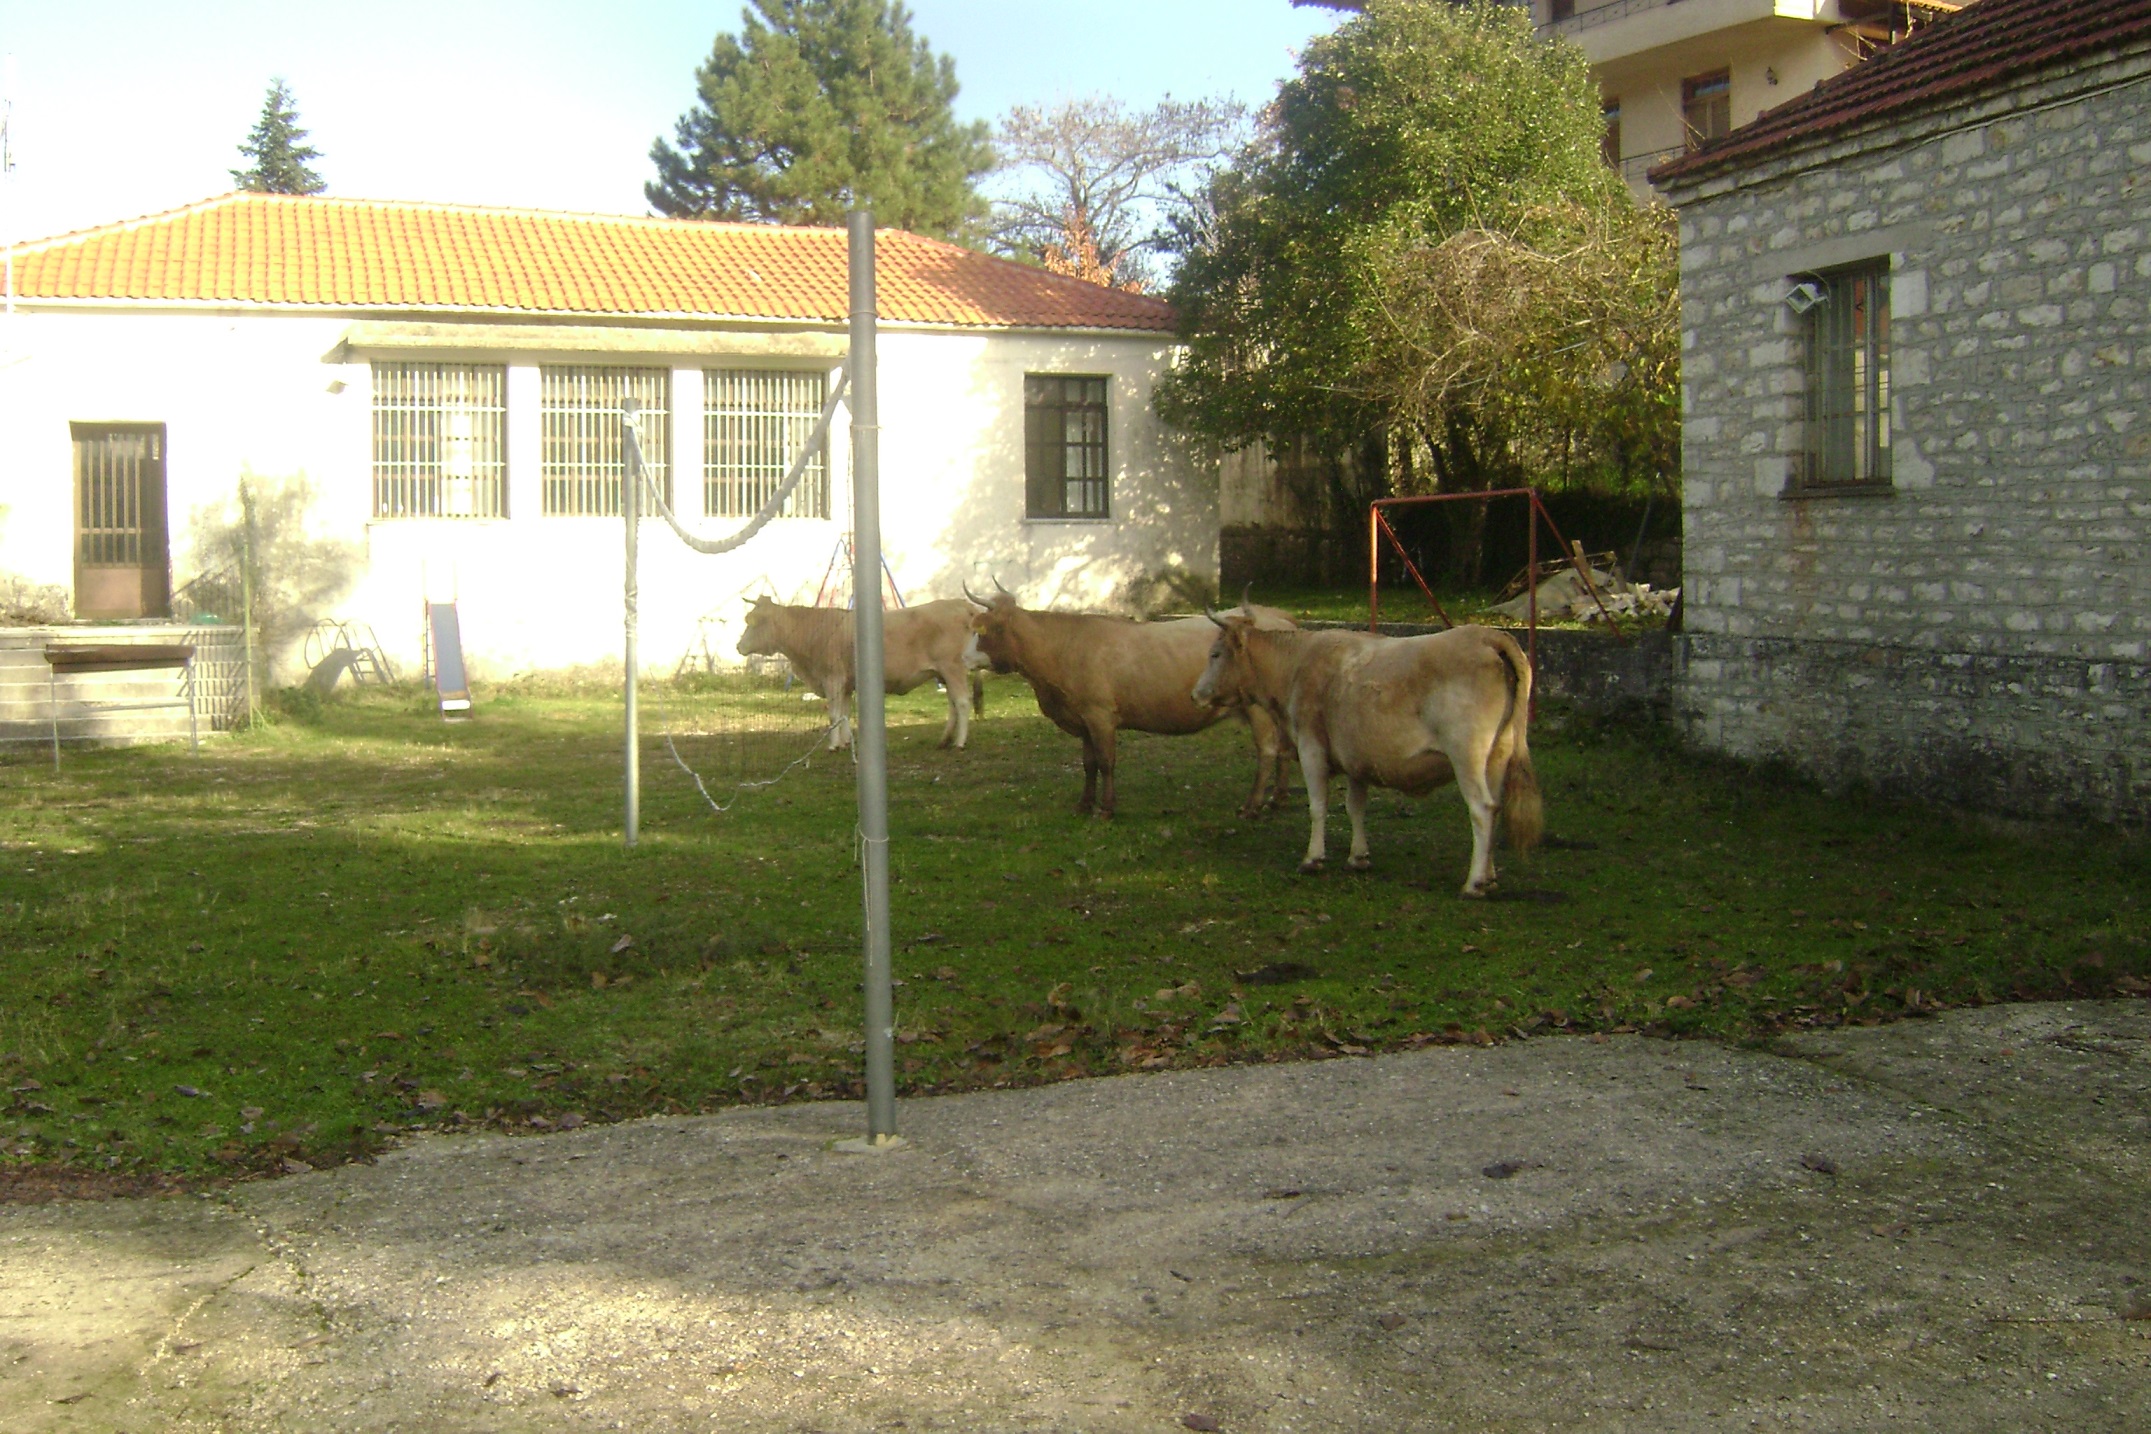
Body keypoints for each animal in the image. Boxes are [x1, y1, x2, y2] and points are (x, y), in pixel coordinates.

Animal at [736, 596, 986, 750]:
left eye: (752, 622)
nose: (739, 646)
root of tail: (961, 604)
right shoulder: (846, 682)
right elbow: (845, 713)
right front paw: (846, 742)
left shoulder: (833, 679)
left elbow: (834, 715)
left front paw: (833, 745)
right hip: (944, 672)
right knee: (953, 704)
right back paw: (945, 740)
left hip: (953, 667)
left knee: (962, 702)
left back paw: (959, 743)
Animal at [964, 584, 1298, 819]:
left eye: (987, 629)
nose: (964, 657)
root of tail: (1276, 616)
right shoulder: (1083, 720)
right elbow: (1088, 764)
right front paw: (1084, 804)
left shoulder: (1100, 715)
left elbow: (1106, 762)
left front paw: (1106, 809)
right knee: (1283, 749)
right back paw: (1278, 798)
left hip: (1258, 710)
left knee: (1267, 751)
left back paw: (1252, 805)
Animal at [1192, 614, 1542, 897]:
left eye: (1215, 654)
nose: (1196, 693)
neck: (1297, 665)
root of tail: (1486, 636)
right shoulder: (1355, 759)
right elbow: (1355, 807)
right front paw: (1358, 857)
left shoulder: (1311, 746)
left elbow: (1318, 806)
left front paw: (1312, 858)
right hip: (1497, 756)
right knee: (1495, 808)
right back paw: (1489, 876)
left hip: (1467, 754)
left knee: (1481, 809)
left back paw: (1473, 884)